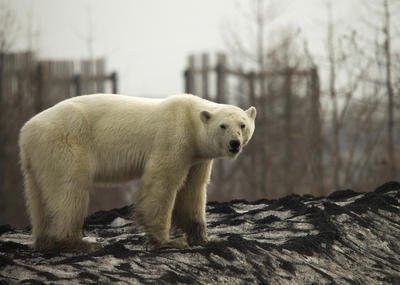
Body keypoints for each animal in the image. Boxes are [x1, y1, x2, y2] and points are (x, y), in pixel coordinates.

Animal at [19, 92, 256, 251]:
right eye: (223, 126)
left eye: (242, 124)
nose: (234, 144)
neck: (190, 117)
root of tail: (26, 130)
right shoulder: (174, 137)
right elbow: (162, 182)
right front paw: (168, 240)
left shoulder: (197, 157)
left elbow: (193, 190)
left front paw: (204, 238)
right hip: (66, 143)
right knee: (69, 189)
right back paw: (79, 242)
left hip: (37, 157)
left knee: (38, 196)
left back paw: (45, 241)